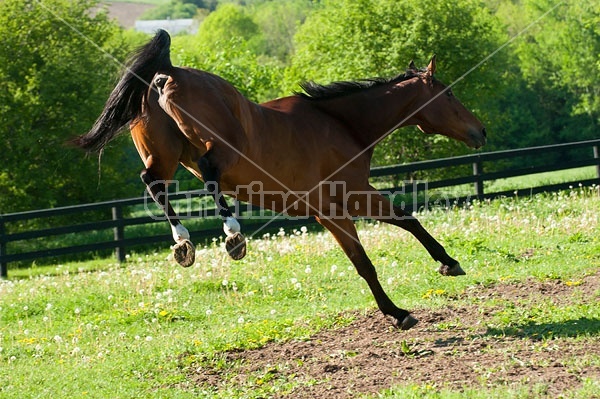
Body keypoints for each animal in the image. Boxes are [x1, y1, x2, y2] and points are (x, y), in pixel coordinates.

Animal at [74, 29, 488, 332]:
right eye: (450, 93)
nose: (481, 131)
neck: (343, 124)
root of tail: (167, 75)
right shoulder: (340, 205)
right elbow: (366, 261)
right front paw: (399, 312)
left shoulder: (347, 201)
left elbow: (405, 221)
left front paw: (448, 264)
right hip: (220, 150)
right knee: (207, 172)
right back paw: (233, 236)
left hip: (164, 157)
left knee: (153, 181)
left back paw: (183, 244)